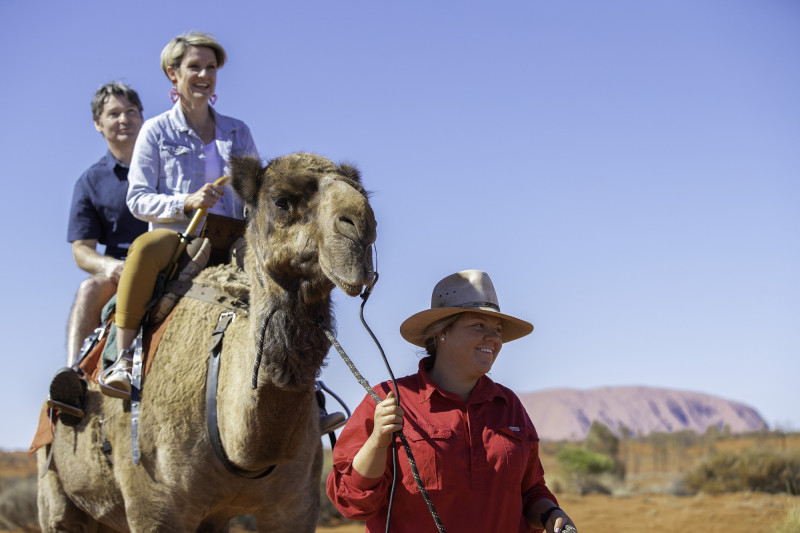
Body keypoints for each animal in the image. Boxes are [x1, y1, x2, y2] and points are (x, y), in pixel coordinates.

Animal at [37, 152, 377, 532]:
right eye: (281, 201)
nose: (362, 227)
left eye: (364, 193)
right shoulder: (154, 508)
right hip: (55, 492)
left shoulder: (295, 506)